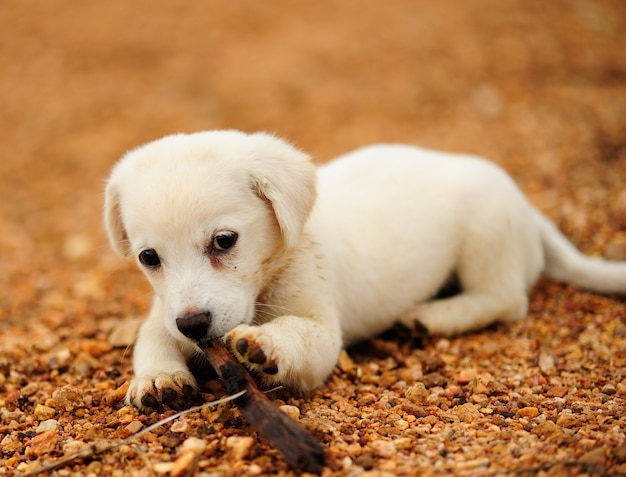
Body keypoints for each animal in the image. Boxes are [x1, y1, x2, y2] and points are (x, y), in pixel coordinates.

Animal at [103, 129, 624, 410]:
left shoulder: (322, 332)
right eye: (149, 258)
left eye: (224, 241)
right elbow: (152, 339)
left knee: (506, 300)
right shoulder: (164, 312)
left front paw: (265, 344)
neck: (278, 265)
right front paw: (157, 378)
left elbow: (297, 336)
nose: (193, 325)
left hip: (487, 236)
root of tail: (529, 212)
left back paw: (432, 316)